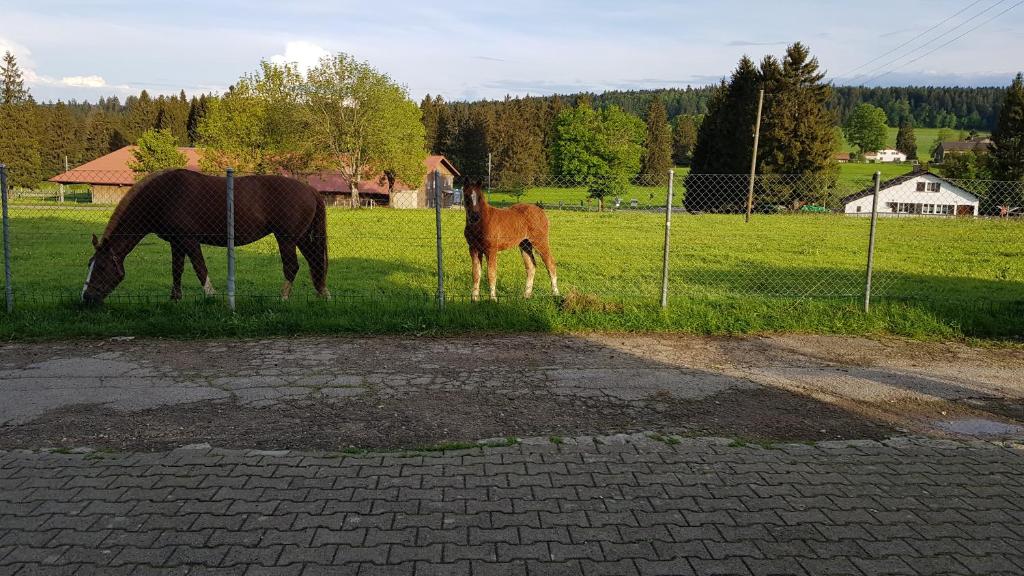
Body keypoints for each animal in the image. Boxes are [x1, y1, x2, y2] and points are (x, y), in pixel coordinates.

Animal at [85, 168, 331, 303]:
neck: (164, 195)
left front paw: (210, 295)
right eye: (90, 264)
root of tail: (310, 190)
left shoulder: (189, 240)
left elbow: (199, 267)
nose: (85, 298)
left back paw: (283, 298)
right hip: (301, 238)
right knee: (315, 263)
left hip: (286, 239)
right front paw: (175, 298)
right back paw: (323, 294)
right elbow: (177, 269)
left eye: (102, 267)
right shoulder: (176, 243)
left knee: (292, 267)